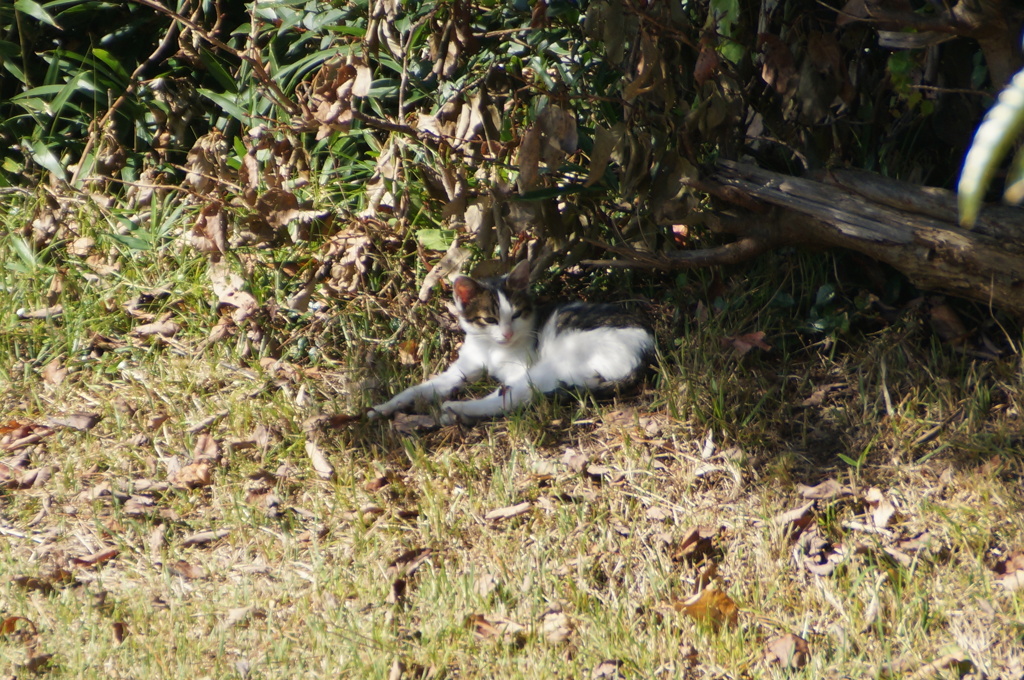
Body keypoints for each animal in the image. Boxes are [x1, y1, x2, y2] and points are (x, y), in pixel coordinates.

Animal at [368, 261, 655, 426]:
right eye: (490, 319)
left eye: (516, 315)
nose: (506, 334)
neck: (491, 349)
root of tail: (645, 352)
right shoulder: (462, 369)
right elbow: (419, 389)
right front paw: (382, 407)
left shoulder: (521, 367)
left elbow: (505, 392)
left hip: (554, 364)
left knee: (511, 398)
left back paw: (458, 409)